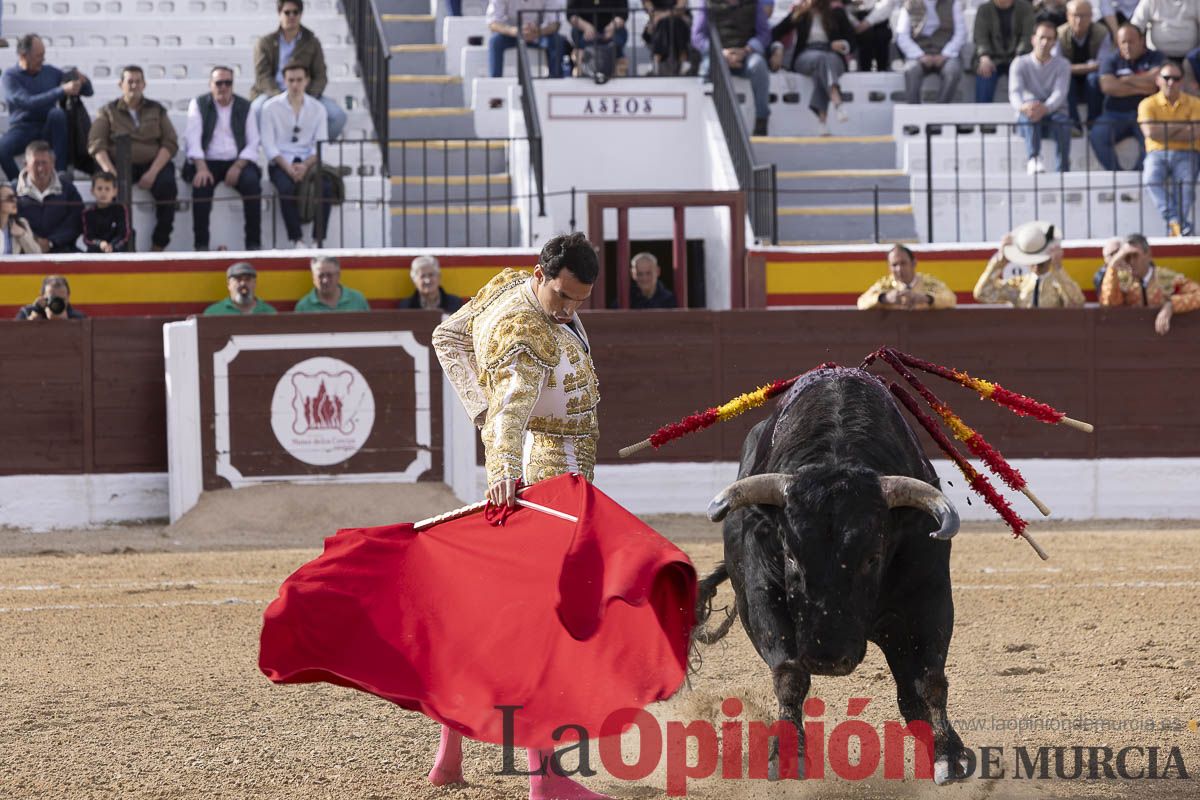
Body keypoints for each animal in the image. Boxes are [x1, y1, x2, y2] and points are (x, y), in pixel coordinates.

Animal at [700, 367, 969, 782]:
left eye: (873, 558)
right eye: (791, 556)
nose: (827, 658)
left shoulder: (930, 597)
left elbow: (930, 680)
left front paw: (949, 757)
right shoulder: (759, 596)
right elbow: (789, 674)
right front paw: (786, 754)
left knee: (910, 693)